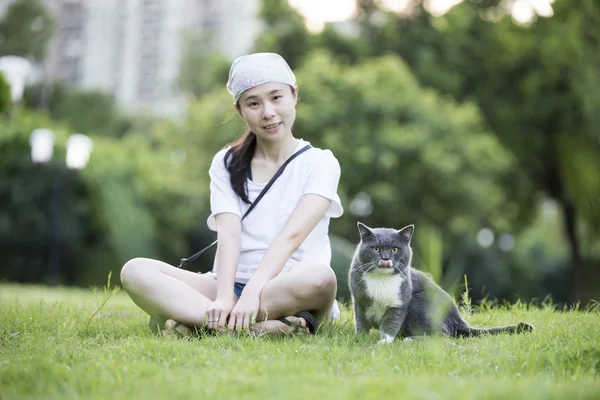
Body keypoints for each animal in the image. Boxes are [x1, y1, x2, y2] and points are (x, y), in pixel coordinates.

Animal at [346, 222, 536, 344]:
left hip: (419, 304)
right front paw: (360, 339)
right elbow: (361, 322)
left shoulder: (399, 303)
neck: (381, 280)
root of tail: (458, 319)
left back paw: (409, 339)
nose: (385, 258)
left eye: (394, 249)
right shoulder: (359, 301)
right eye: (376, 249)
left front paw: (384, 342)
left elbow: (390, 325)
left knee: (444, 335)